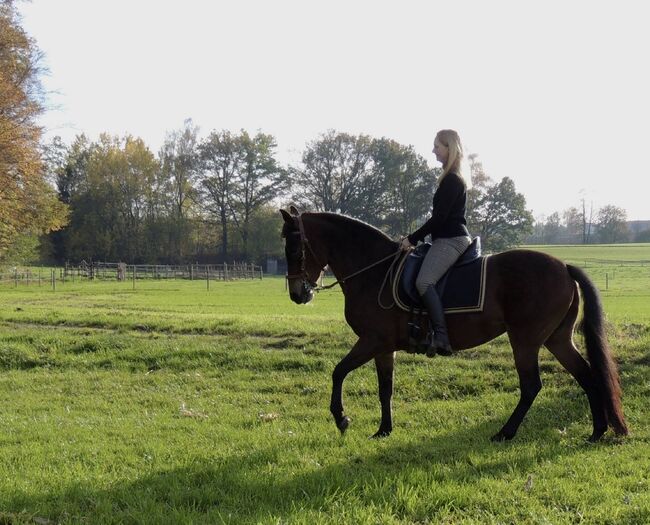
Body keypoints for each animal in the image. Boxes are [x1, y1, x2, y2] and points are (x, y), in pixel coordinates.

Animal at [280, 209, 628, 442]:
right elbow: (384, 388)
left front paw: (341, 418)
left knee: (531, 386)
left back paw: (505, 433)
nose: (297, 294)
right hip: (556, 339)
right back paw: (597, 431)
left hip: (525, 340)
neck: (373, 271)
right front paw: (384, 430)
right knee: (586, 375)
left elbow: (338, 372)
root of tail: (564, 267)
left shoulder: (371, 340)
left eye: (294, 247)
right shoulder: (383, 347)